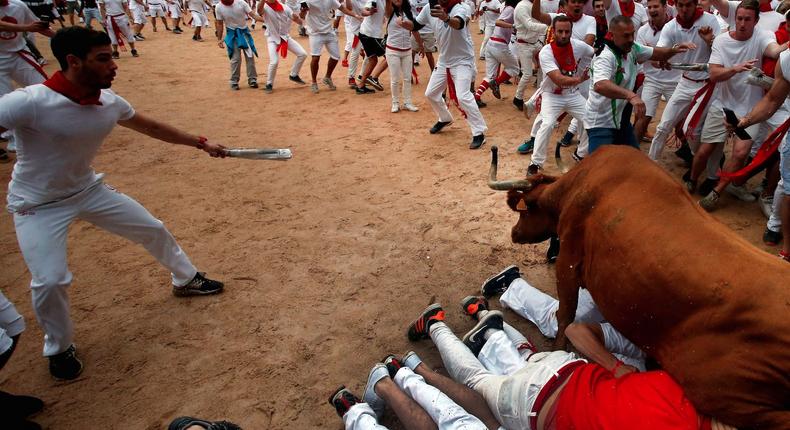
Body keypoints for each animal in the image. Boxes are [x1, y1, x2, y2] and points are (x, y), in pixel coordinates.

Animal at [488, 145, 790, 430]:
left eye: (524, 213)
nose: (514, 233)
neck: (575, 186)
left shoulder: (568, 261)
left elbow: (565, 314)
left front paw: (559, 349)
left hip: (727, 398)